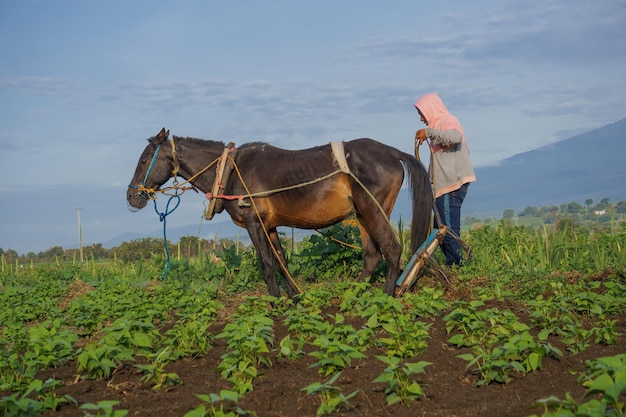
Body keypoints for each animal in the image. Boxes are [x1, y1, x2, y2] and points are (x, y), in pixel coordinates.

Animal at [125, 127, 432, 296]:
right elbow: (282, 260)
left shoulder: (253, 222)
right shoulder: (269, 225)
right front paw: (294, 295)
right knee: (371, 255)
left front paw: (273, 301)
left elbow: (266, 263)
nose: (131, 196)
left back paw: (387, 295)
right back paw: (354, 291)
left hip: (373, 209)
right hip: (362, 214)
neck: (230, 170)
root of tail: (392, 152)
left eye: (144, 160)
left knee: (391, 249)